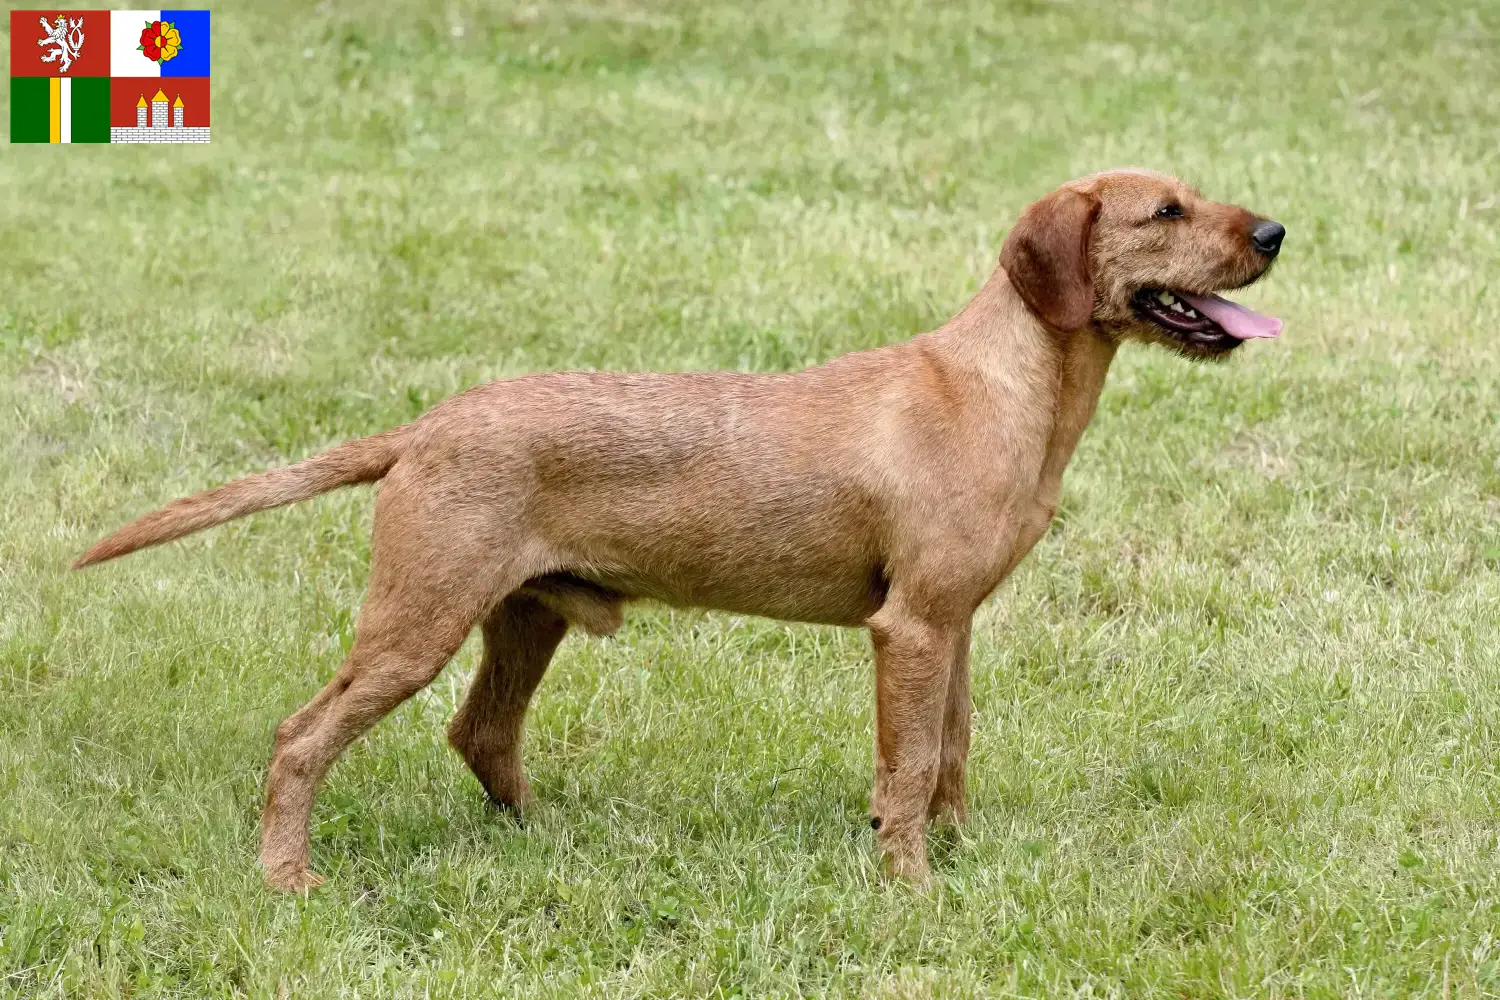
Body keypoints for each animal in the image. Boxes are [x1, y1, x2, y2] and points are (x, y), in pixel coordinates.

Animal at [76, 167, 1284, 887]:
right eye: (1165, 213)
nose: (1275, 229)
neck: (1001, 385)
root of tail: (427, 424)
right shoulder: (912, 629)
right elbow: (905, 767)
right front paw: (910, 886)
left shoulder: (956, 625)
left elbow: (952, 752)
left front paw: (955, 853)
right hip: (416, 621)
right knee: (302, 737)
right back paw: (288, 876)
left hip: (522, 617)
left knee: (481, 732)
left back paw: (551, 838)